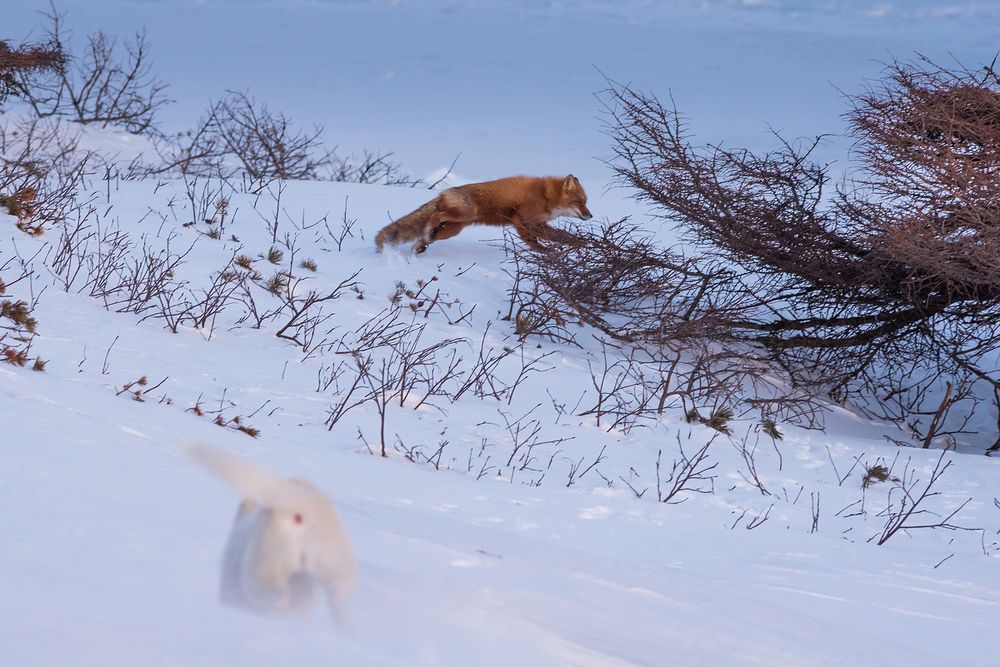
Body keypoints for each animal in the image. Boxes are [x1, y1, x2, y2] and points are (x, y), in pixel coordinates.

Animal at [374, 174, 593, 254]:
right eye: (579, 202)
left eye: (585, 202)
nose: (590, 216)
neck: (546, 196)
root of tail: (443, 193)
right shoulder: (521, 220)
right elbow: (534, 241)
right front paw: (544, 252)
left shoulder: (538, 223)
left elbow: (562, 236)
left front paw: (580, 244)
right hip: (462, 214)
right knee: (435, 217)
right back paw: (426, 234)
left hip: (452, 229)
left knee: (431, 232)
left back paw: (421, 244)